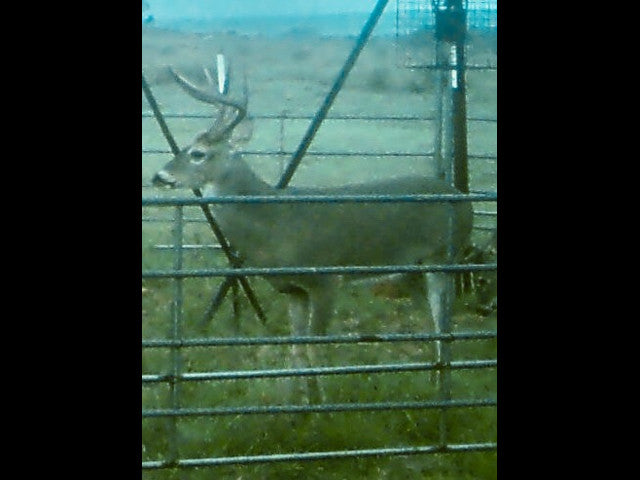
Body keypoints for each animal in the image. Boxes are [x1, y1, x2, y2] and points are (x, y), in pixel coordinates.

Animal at [151, 58, 474, 403]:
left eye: (198, 153)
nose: (158, 176)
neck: (273, 223)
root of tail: (463, 198)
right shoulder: (294, 290)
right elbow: (296, 349)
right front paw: (293, 405)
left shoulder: (325, 279)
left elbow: (314, 348)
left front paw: (321, 406)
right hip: (417, 267)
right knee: (434, 322)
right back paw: (434, 382)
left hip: (445, 257)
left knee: (445, 322)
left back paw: (444, 389)